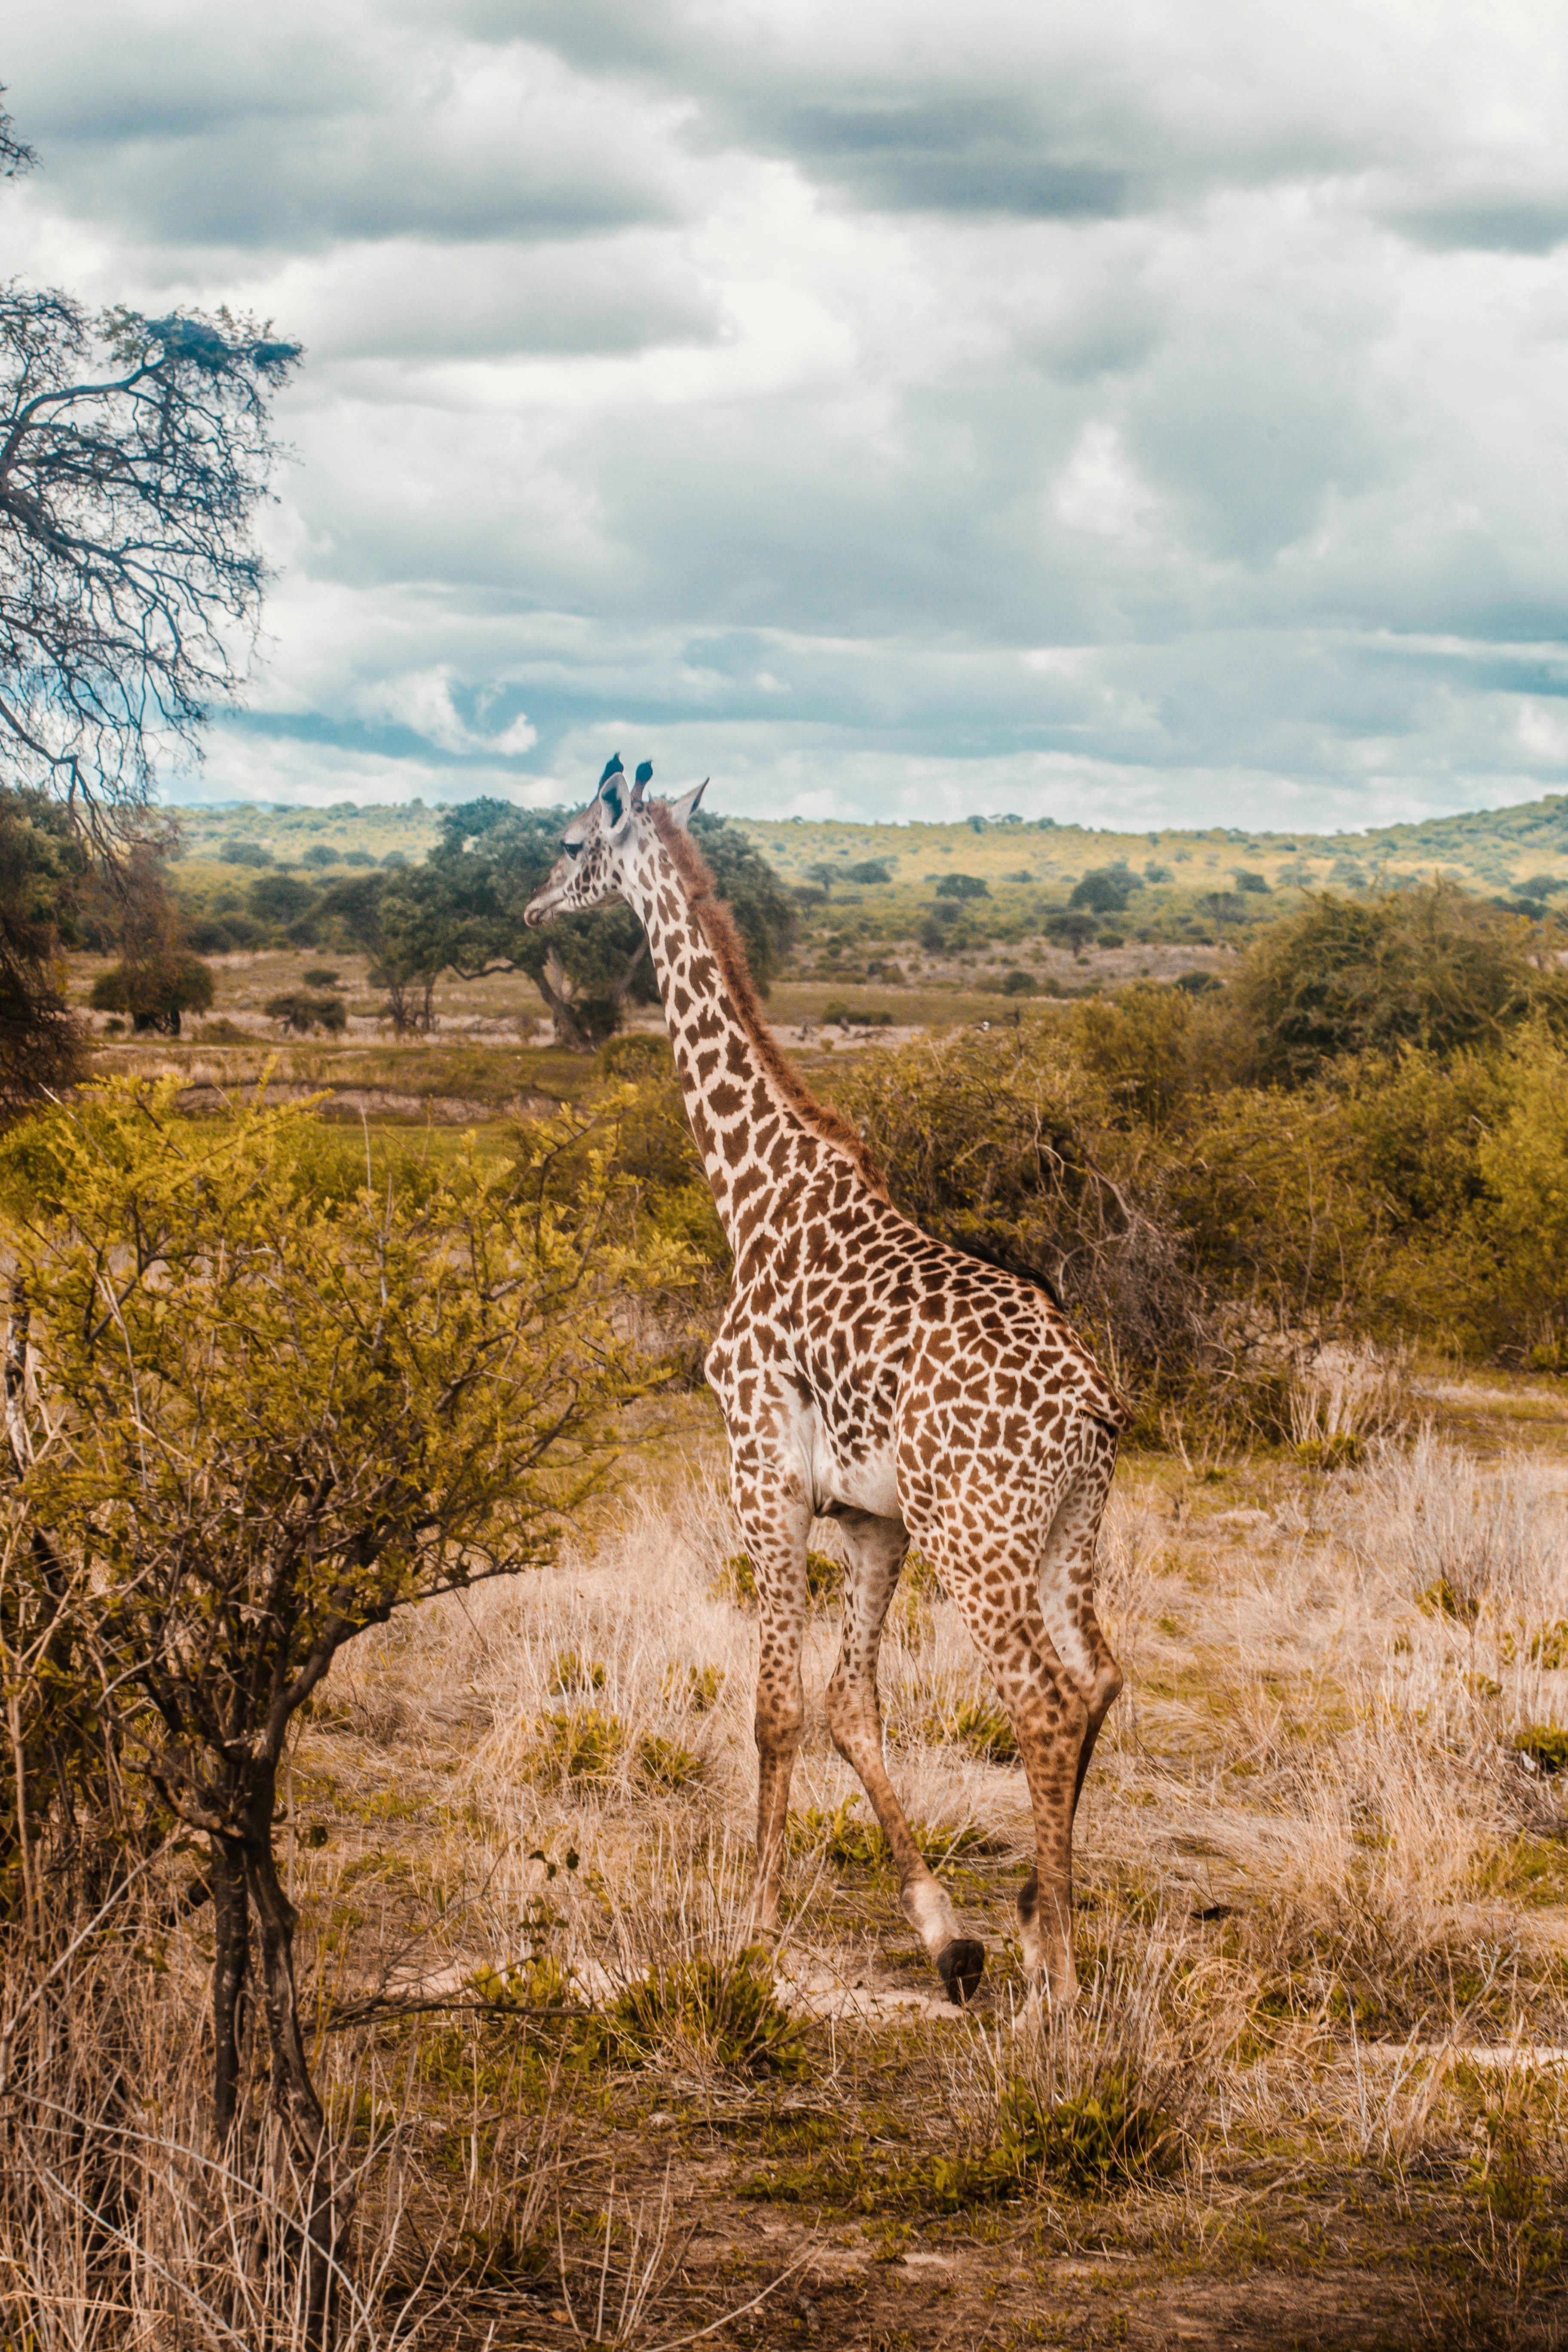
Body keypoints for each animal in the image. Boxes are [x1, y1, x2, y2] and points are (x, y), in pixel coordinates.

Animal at [524, 759, 1127, 2005]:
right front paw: (945, 1930)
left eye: (567, 842)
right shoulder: (869, 1520)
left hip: (977, 1535)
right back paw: (1040, 1913)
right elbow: (853, 1705)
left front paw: (752, 1932)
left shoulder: (762, 1471)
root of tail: (1091, 1410)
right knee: (1100, 1678)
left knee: (1043, 1698)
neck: (754, 1193)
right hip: (1063, 1530)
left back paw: (1054, 1976)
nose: (530, 907)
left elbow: (775, 1707)